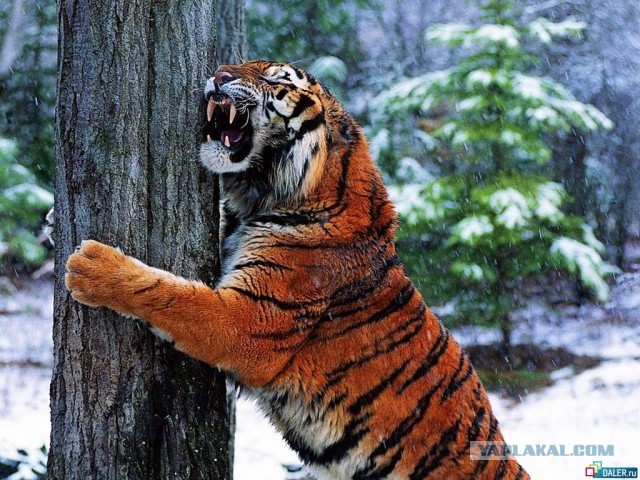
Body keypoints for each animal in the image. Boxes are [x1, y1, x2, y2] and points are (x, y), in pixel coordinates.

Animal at [65, 60, 529, 480]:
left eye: (275, 78)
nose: (218, 74)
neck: (266, 198)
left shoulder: (251, 319)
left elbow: (172, 296)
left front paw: (91, 265)